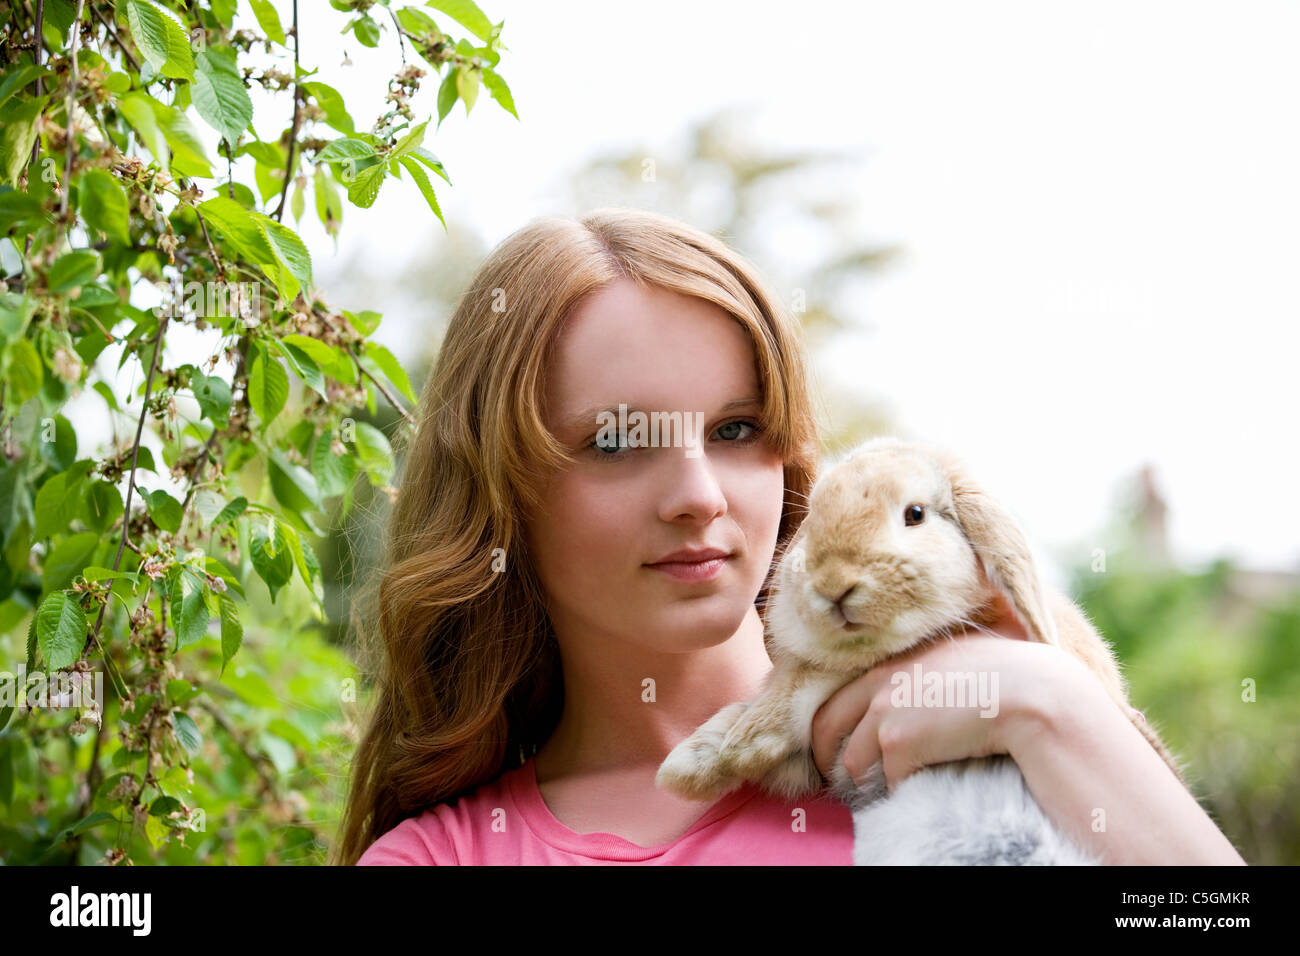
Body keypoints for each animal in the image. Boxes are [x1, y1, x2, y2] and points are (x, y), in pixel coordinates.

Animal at [660, 437, 1190, 863]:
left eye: (914, 514)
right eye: (813, 517)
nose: (833, 584)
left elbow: (795, 691)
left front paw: (715, 755)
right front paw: (694, 762)